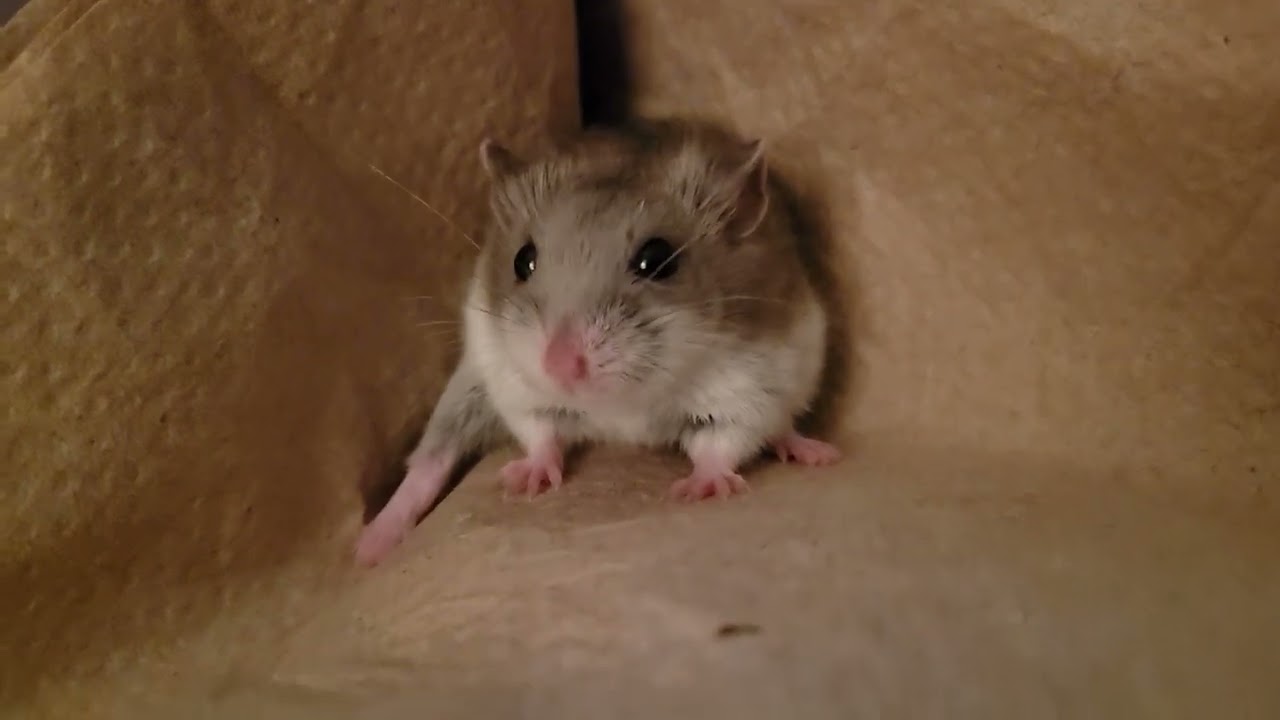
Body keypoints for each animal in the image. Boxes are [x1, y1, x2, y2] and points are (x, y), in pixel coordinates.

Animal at [355, 119, 840, 567]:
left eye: (657, 259)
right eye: (522, 260)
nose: (559, 366)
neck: (619, 404)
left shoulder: (747, 394)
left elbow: (720, 445)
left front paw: (702, 488)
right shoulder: (514, 385)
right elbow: (539, 433)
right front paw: (525, 479)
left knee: (779, 428)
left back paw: (815, 452)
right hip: (469, 387)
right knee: (431, 458)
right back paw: (369, 547)